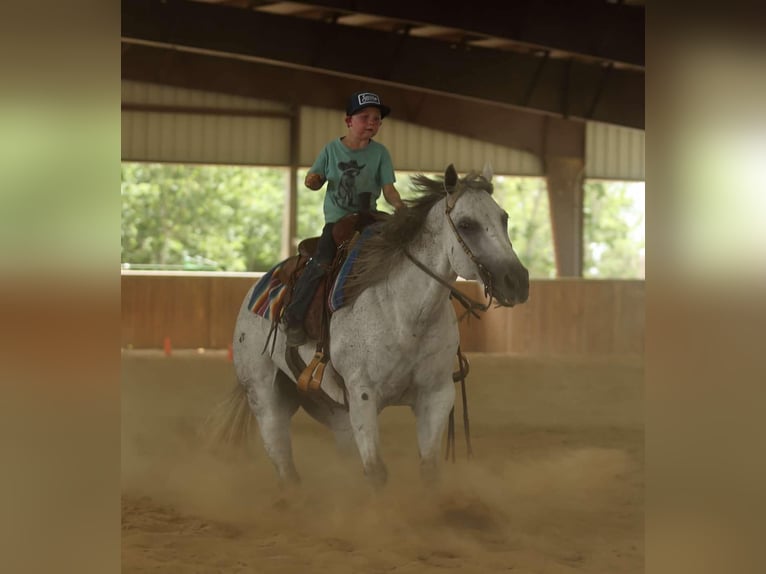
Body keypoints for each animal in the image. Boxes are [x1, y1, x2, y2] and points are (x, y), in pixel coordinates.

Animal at [213, 164, 529, 487]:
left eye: (503, 218)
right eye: (466, 224)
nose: (517, 281)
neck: (407, 316)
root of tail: (259, 289)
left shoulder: (437, 395)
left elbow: (429, 469)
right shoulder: (363, 395)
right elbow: (376, 471)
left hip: (330, 406)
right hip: (264, 395)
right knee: (282, 459)